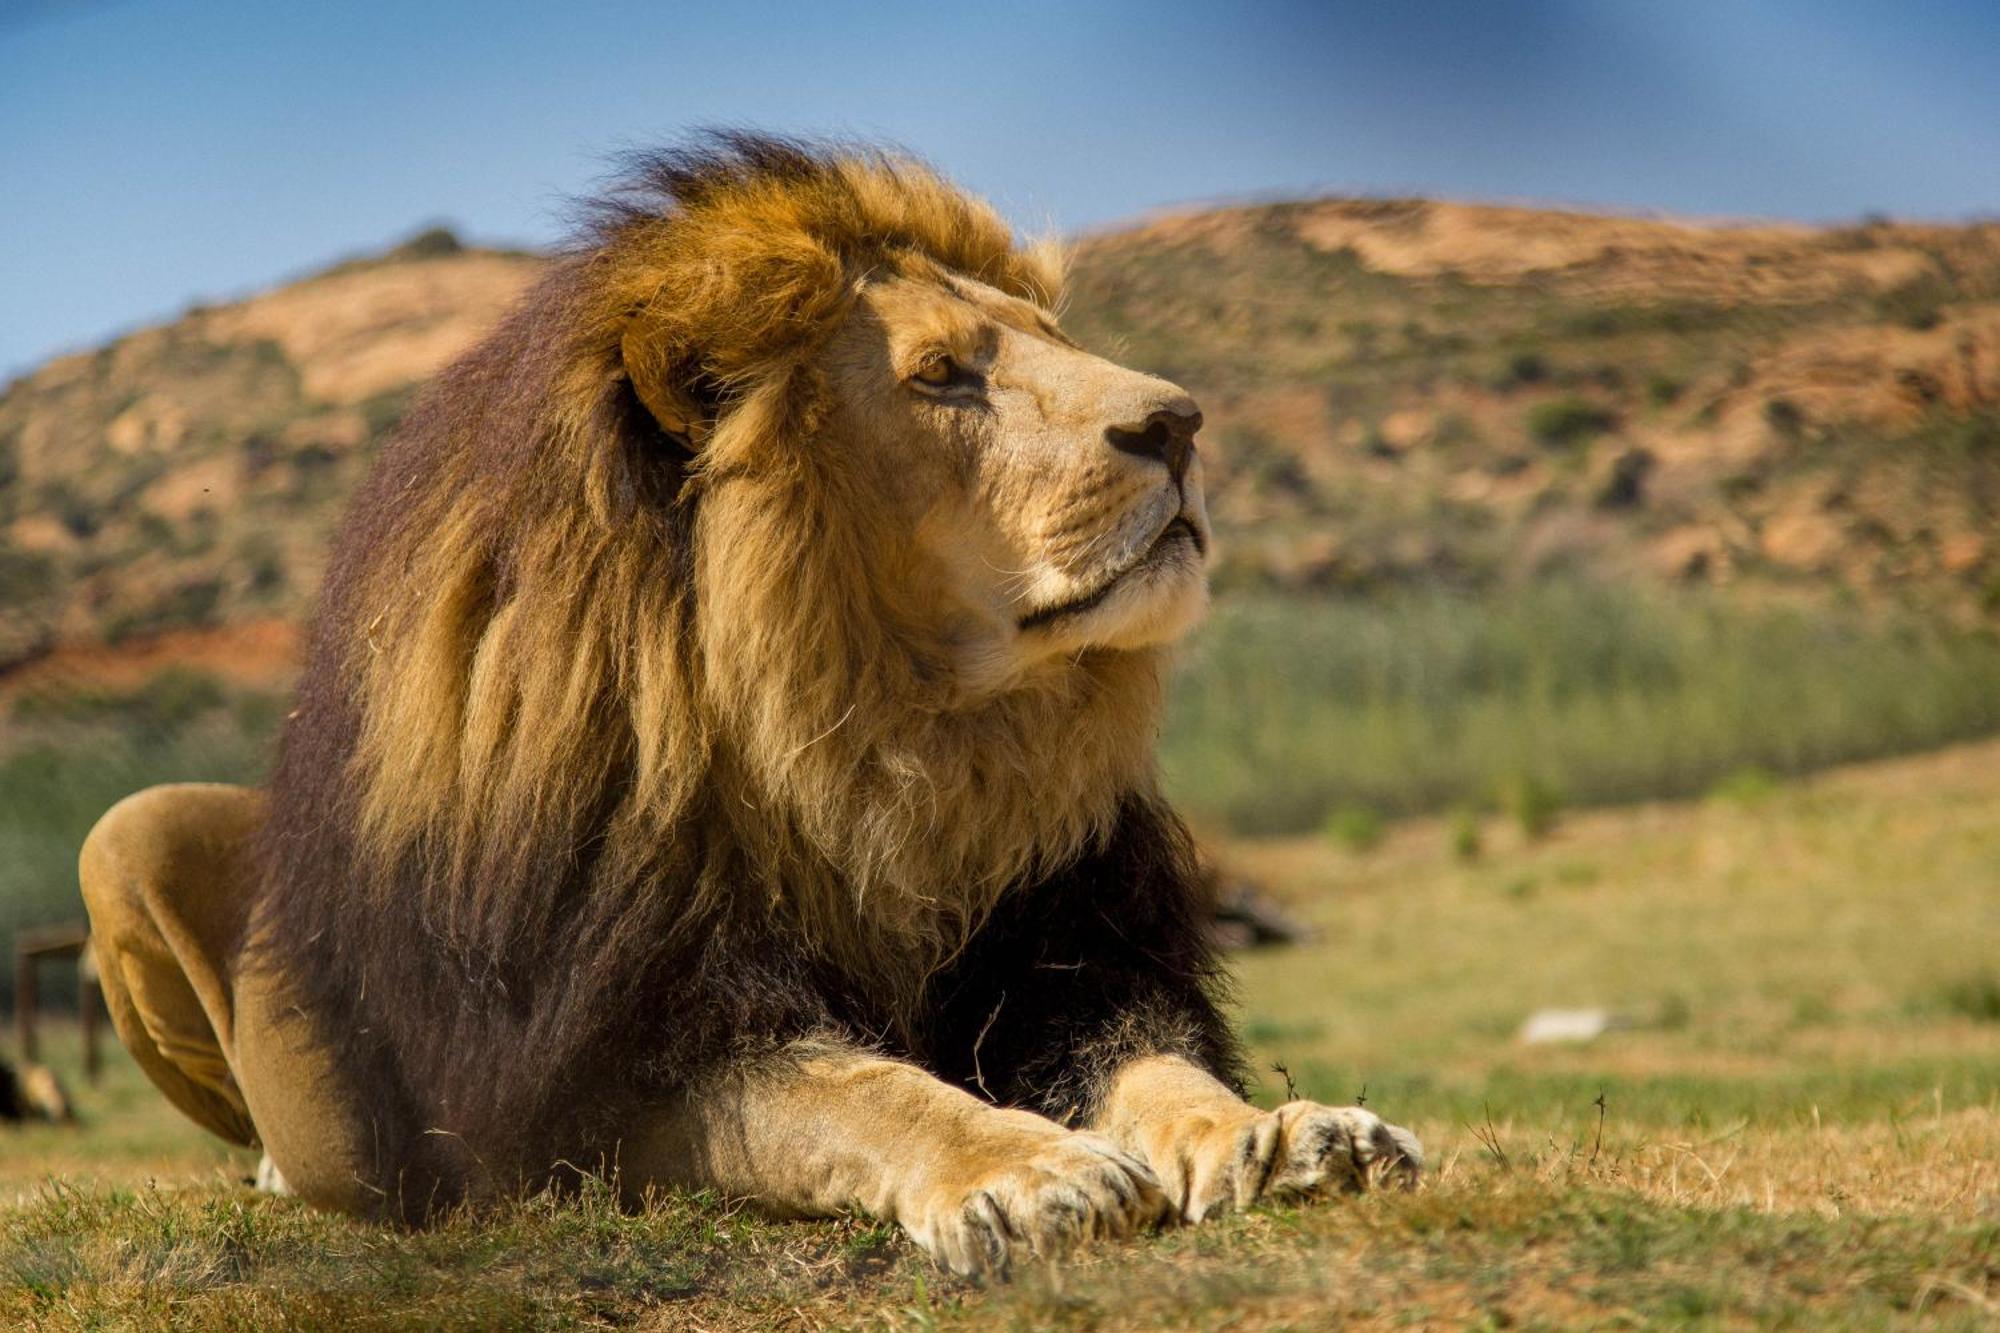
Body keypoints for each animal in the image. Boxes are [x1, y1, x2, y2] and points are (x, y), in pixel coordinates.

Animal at [78, 132, 1424, 1264]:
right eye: (942, 374)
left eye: (1047, 332)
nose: (1182, 423)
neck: (887, 737)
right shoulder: (595, 1074)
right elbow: (851, 1092)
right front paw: (1030, 1169)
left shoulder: (1068, 947)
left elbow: (1152, 1067)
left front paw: (1285, 1134)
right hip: (122, 835)